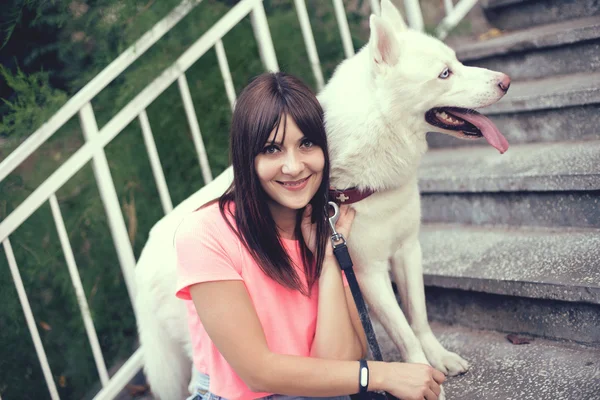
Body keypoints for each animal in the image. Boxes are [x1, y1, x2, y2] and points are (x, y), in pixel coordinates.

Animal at [136, 1, 510, 398]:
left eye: (456, 62)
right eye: (444, 74)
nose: (505, 81)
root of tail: (141, 260)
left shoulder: (407, 250)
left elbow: (418, 317)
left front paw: (439, 359)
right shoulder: (367, 273)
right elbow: (404, 332)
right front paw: (421, 376)